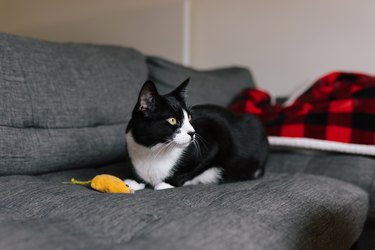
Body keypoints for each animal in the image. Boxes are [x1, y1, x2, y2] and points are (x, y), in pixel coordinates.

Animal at [125, 79, 268, 190]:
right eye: (172, 120)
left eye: (189, 117)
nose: (193, 133)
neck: (153, 150)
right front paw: (134, 182)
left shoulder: (213, 142)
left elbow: (194, 169)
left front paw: (166, 184)